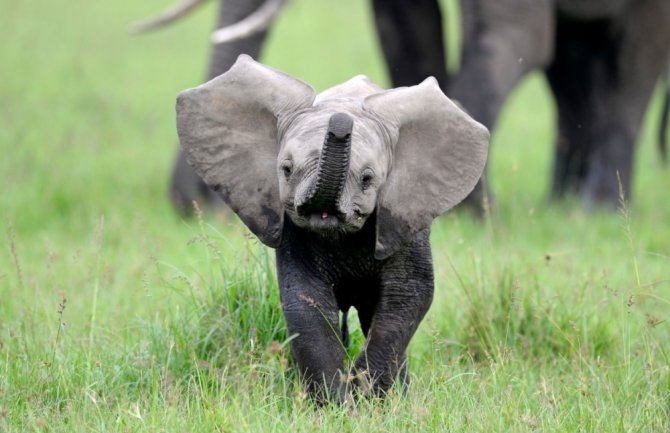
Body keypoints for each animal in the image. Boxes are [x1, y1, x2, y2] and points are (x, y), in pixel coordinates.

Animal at [176, 54, 490, 402]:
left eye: (367, 179)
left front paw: (368, 396)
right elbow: (306, 300)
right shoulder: (294, 232)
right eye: (286, 170)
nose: (340, 124)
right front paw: (335, 403)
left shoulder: (405, 217)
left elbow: (409, 295)